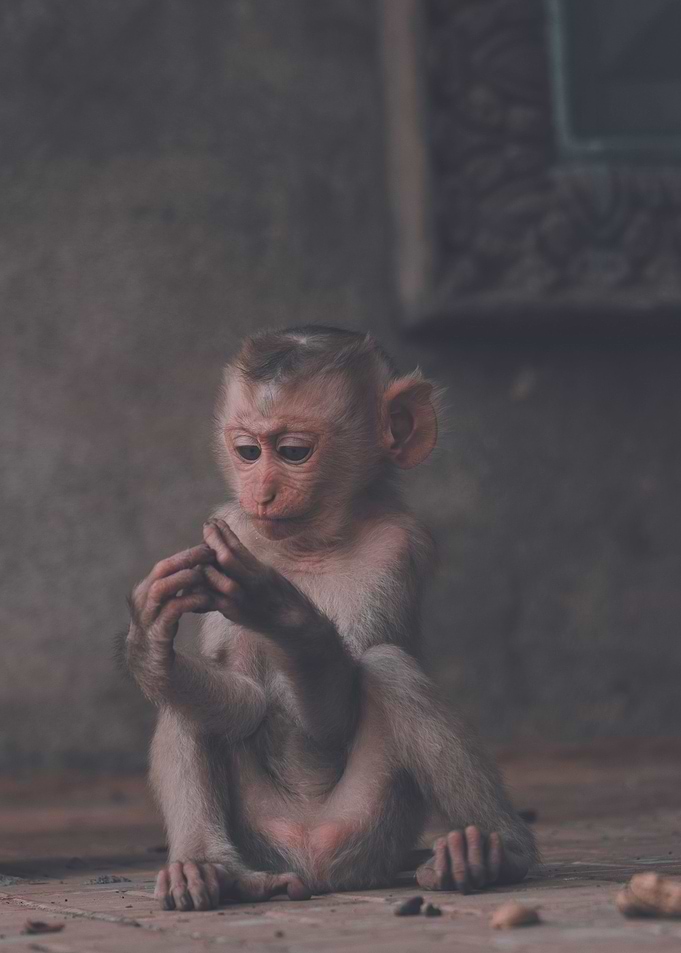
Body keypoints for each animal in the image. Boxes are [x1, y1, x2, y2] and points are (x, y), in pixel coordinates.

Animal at [124, 325, 538, 911]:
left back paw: (496, 851)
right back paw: (211, 869)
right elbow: (244, 700)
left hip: (372, 827)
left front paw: (284, 614)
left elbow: (333, 719)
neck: (310, 545)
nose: (262, 492)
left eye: (293, 452)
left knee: (388, 668)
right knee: (186, 705)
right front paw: (150, 644)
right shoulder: (232, 524)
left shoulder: (396, 546)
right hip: (261, 831)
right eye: (247, 452)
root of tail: (312, 864)